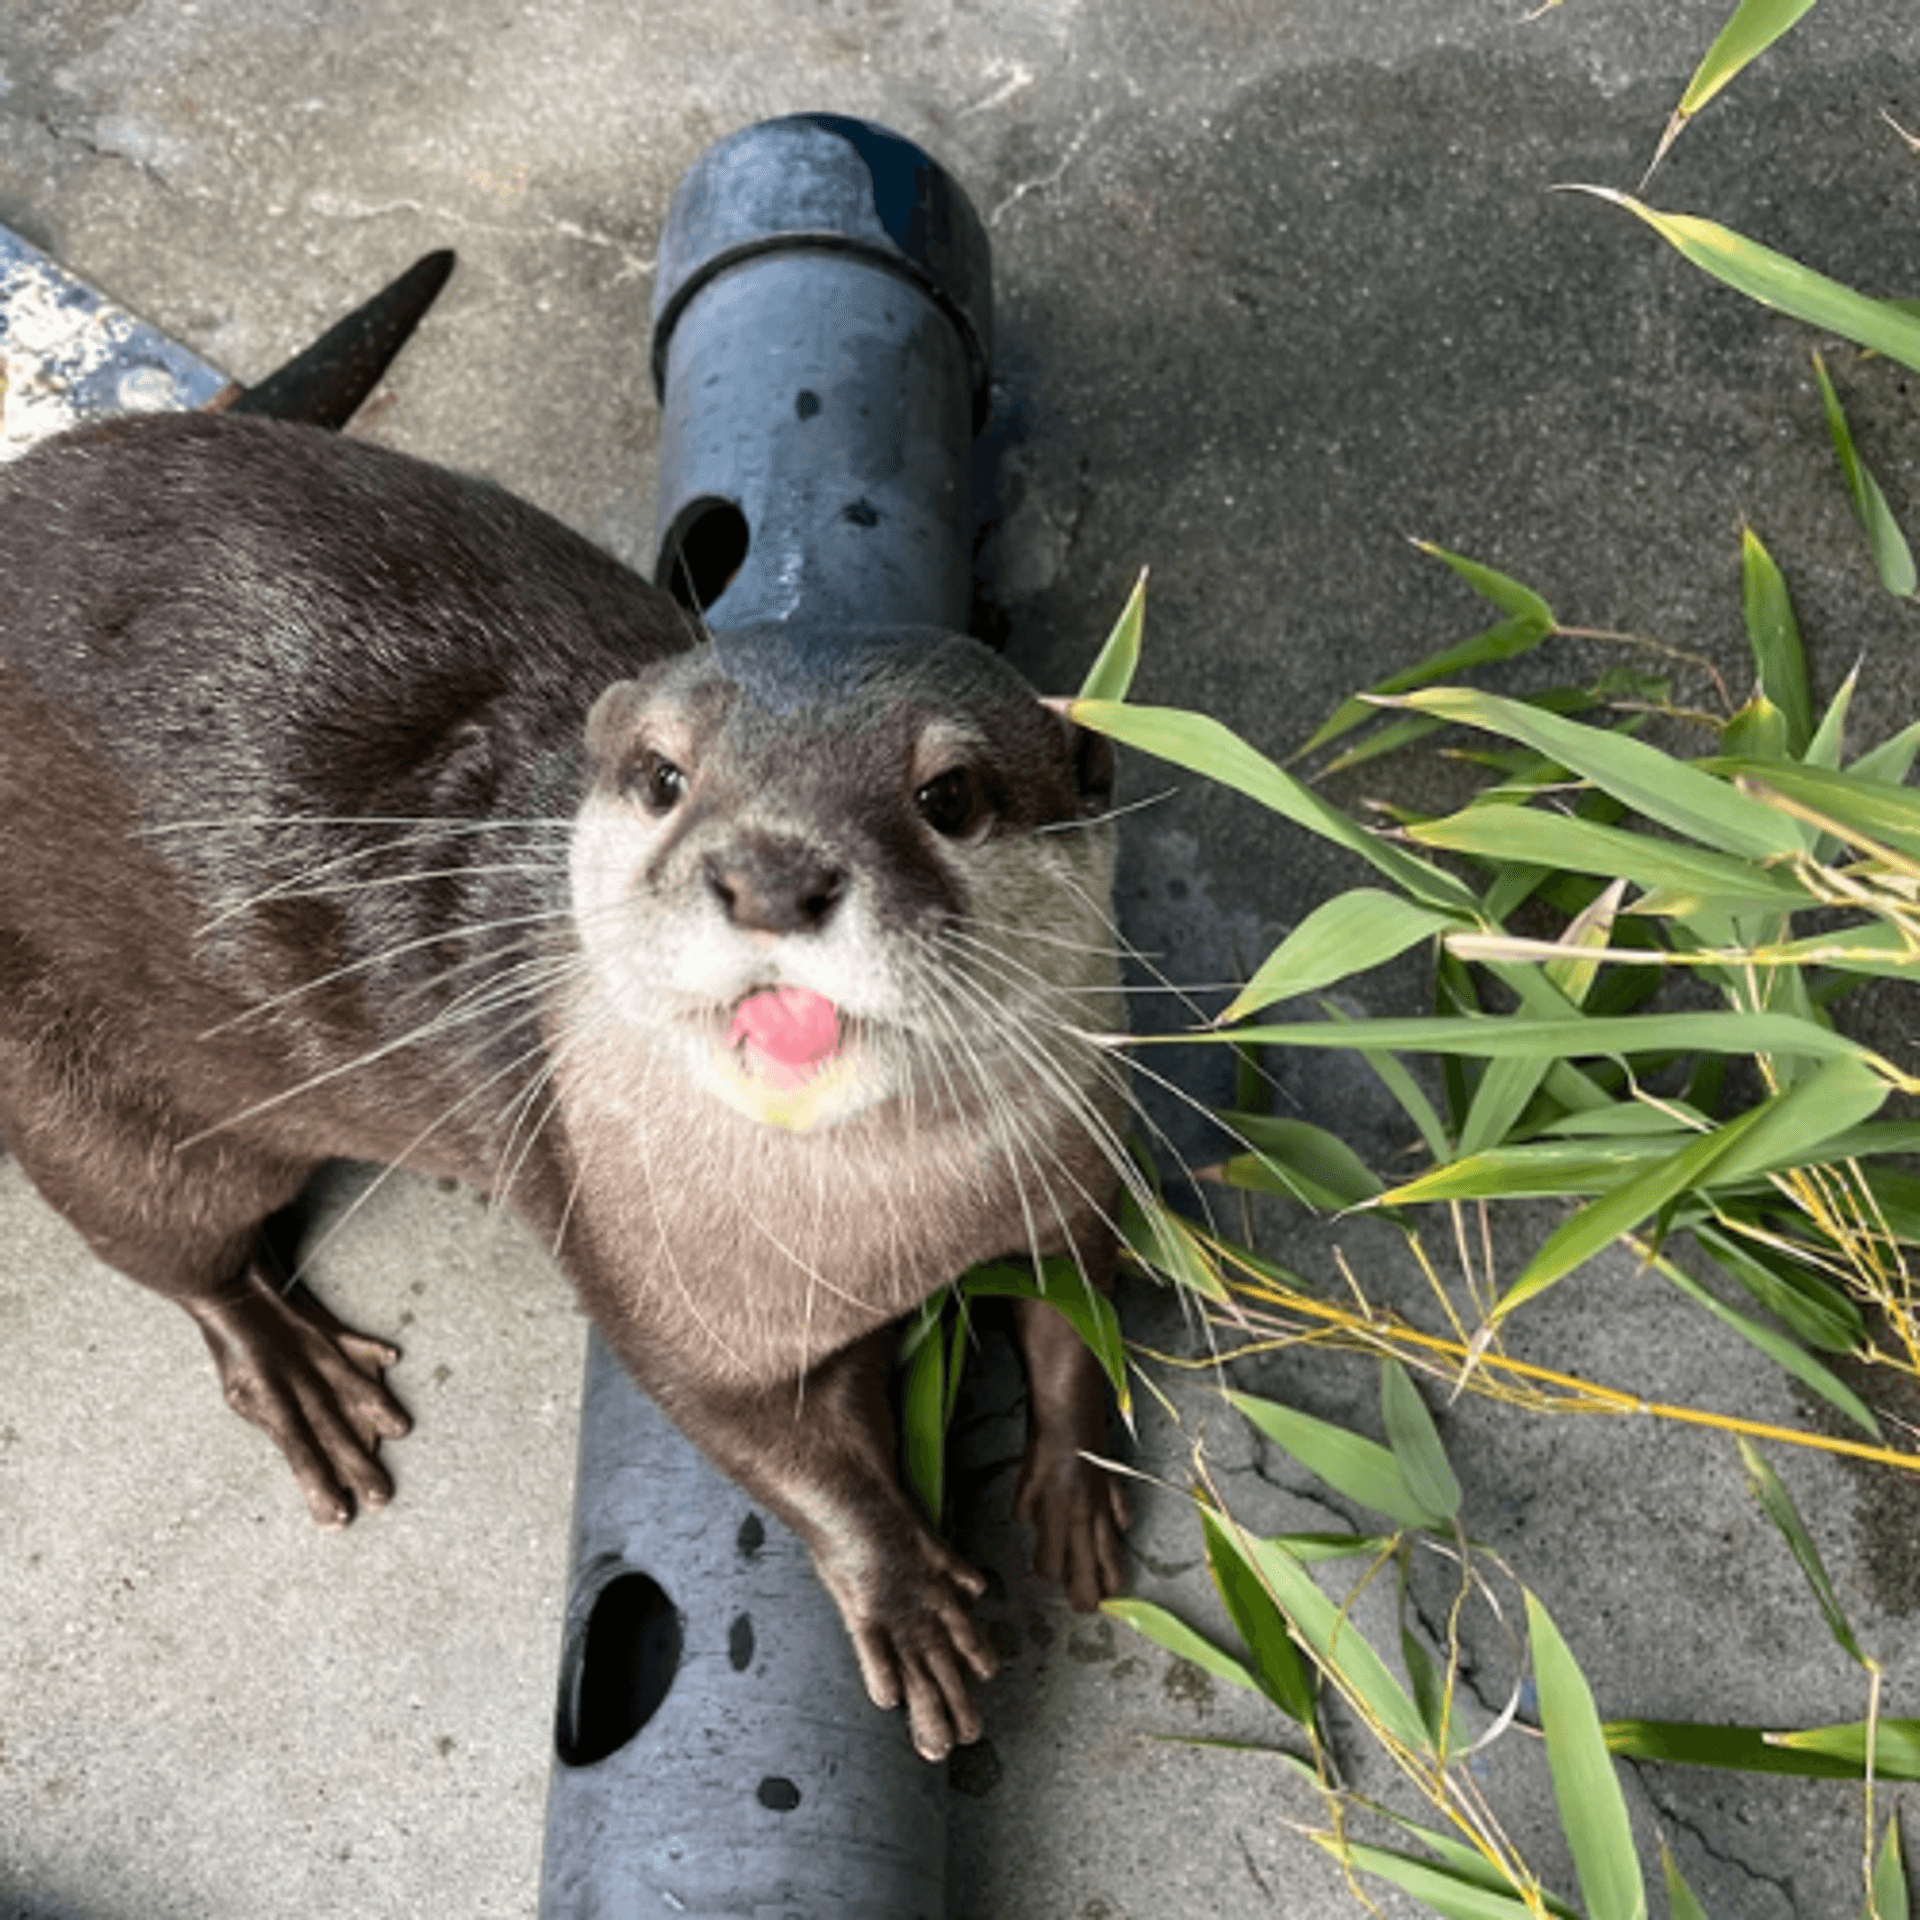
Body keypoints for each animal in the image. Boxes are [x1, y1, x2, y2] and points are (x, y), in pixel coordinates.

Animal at [0, 409, 1132, 1762]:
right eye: (663, 779)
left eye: (948, 795)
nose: (769, 876)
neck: (897, 1230)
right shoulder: (662, 1284)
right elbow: (783, 1453)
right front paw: (907, 1597)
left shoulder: (1076, 1143)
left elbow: (1082, 1296)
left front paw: (1076, 1481)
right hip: (71, 1080)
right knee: (175, 1244)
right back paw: (293, 1366)